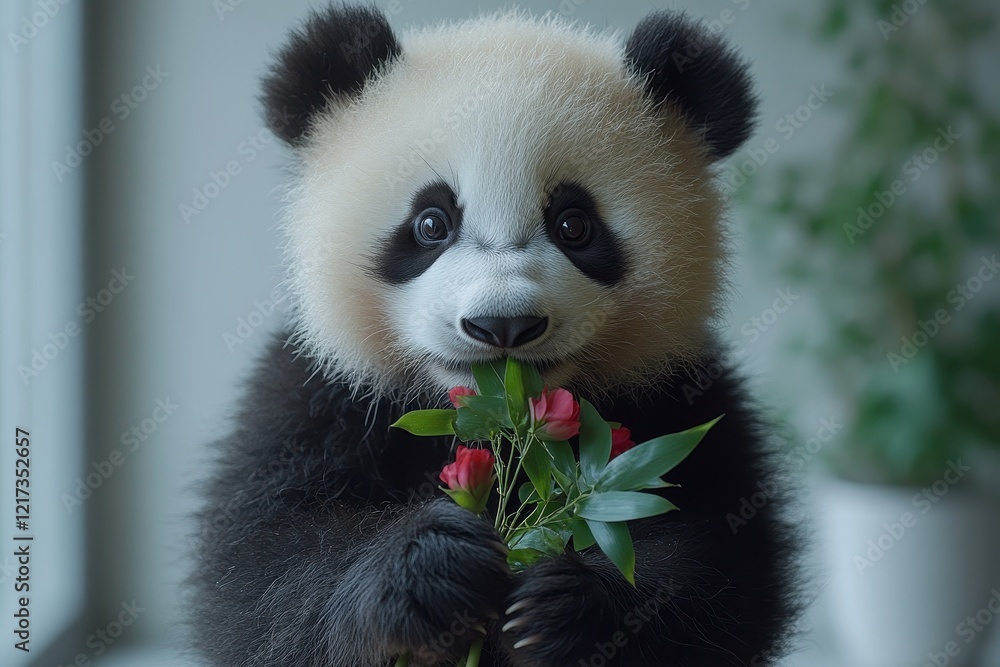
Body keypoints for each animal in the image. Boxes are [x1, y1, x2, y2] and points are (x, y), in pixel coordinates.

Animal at [191, 5, 798, 666]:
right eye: (431, 223)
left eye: (574, 224)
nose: (502, 325)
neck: (490, 418)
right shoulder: (320, 392)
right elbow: (263, 569)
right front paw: (430, 569)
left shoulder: (682, 390)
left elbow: (723, 573)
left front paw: (567, 608)